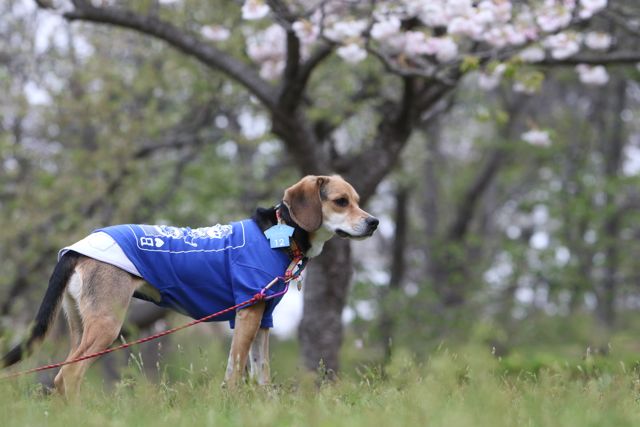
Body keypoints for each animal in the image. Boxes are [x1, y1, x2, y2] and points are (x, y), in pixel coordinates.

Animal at [2, 176, 378, 400]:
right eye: (341, 201)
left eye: (358, 200)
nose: (374, 222)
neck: (281, 234)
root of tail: (77, 248)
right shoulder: (248, 314)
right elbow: (235, 368)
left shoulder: (264, 322)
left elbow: (261, 372)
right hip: (106, 326)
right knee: (69, 376)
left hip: (82, 327)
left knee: (61, 377)